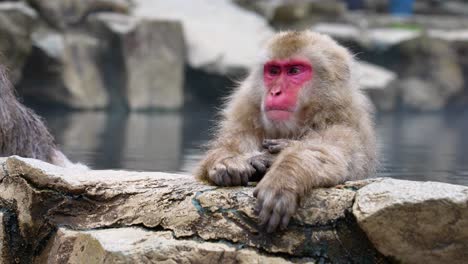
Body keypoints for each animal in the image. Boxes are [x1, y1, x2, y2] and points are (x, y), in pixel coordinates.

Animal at [197, 31, 376, 232]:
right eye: (274, 71)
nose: (275, 92)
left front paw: (283, 175)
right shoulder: (245, 120)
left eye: (294, 71)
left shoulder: (343, 127)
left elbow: (325, 154)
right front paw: (227, 161)